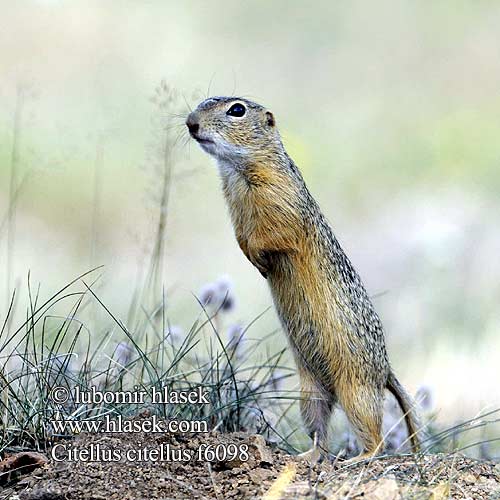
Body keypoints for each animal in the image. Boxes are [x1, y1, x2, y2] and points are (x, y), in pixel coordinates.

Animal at [186, 95, 420, 458]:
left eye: (237, 110)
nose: (190, 123)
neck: (238, 171)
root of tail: (385, 371)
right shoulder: (235, 211)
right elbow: (241, 238)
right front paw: (254, 260)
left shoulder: (280, 203)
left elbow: (273, 236)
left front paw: (260, 259)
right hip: (310, 394)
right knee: (320, 432)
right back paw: (307, 456)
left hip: (356, 389)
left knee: (376, 438)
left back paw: (357, 458)